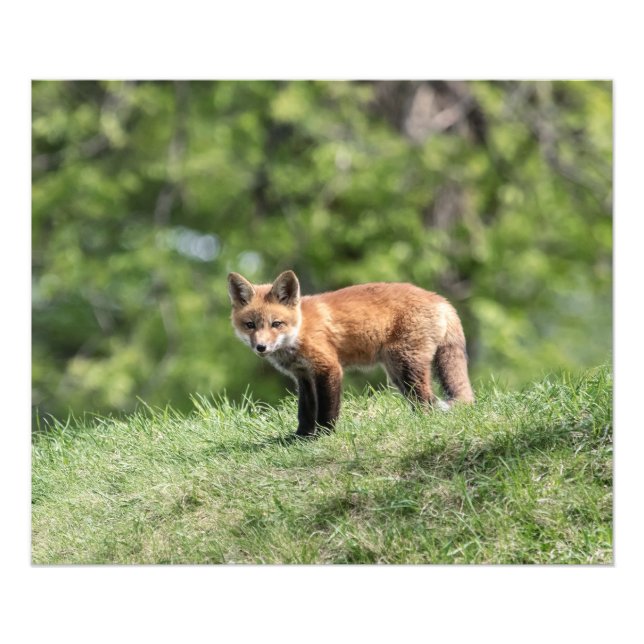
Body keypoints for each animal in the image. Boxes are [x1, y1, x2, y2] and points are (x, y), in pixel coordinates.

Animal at [228, 270, 474, 437]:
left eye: (276, 324)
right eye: (250, 325)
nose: (261, 347)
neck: (300, 329)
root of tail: (441, 299)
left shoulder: (328, 368)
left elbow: (327, 409)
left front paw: (324, 435)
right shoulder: (303, 375)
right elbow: (305, 411)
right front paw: (300, 437)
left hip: (405, 365)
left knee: (426, 401)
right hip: (397, 372)